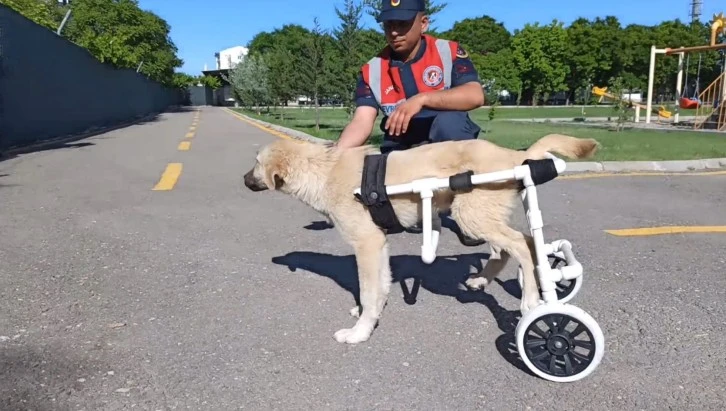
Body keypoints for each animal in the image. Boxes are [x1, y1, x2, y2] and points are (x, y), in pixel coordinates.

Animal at [242, 134, 600, 342]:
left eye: (256, 163)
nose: (243, 179)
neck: (323, 170)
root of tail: (514, 155)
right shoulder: (379, 245)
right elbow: (379, 287)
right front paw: (370, 314)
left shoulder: (367, 244)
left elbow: (369, 290)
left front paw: (360, 333)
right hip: (482, 216)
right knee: (515, 244)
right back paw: (492, 280)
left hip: (472, 215)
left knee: (522, 245)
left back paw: (532, 300)